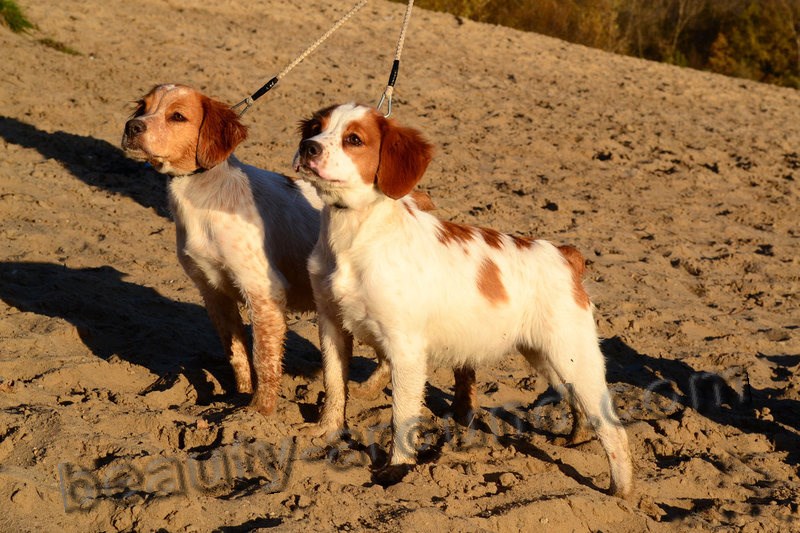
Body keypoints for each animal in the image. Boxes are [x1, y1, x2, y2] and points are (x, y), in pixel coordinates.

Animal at [118, 83, 468, 416]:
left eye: (177, 116)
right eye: (143, 107)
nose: (131, 126)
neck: (202, 194)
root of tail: (414, 198)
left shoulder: (264, 292)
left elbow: (263, 360)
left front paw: (258, 415)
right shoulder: (214, 292)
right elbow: (236, 353)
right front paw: (238, 397)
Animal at [292, 103, 632, 494]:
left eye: (354, 139)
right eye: (314, 129)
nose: (308, 148)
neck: (356, 235)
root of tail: (565, 255)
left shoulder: (405, 348)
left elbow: (401, 415)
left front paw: (397, 469)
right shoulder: (331, 326)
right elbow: (335, 386)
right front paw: (326, 433)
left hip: (573, 354)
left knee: (613, 428)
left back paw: (620, 492)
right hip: (549, 356)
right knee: (576, 401)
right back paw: (576, 440)